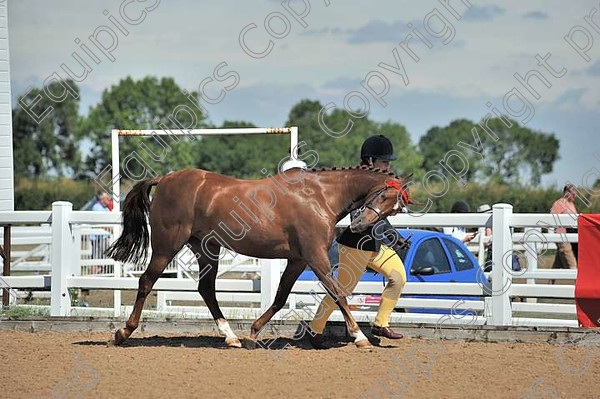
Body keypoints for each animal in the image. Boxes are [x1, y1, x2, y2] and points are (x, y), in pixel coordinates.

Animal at [105, 165, 410, 346]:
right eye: (384, 196)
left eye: (395, 207)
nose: (359, 226)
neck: (320, 196)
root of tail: (165, 178)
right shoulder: (315, 256)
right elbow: (338, 293)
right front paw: (360, 336)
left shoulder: (299, 260)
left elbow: (281, 297)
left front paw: (253, 332)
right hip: (167, 246)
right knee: (146, 281)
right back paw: (123, 332)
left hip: (206, 248)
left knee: (206, 289)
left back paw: (231, 337)